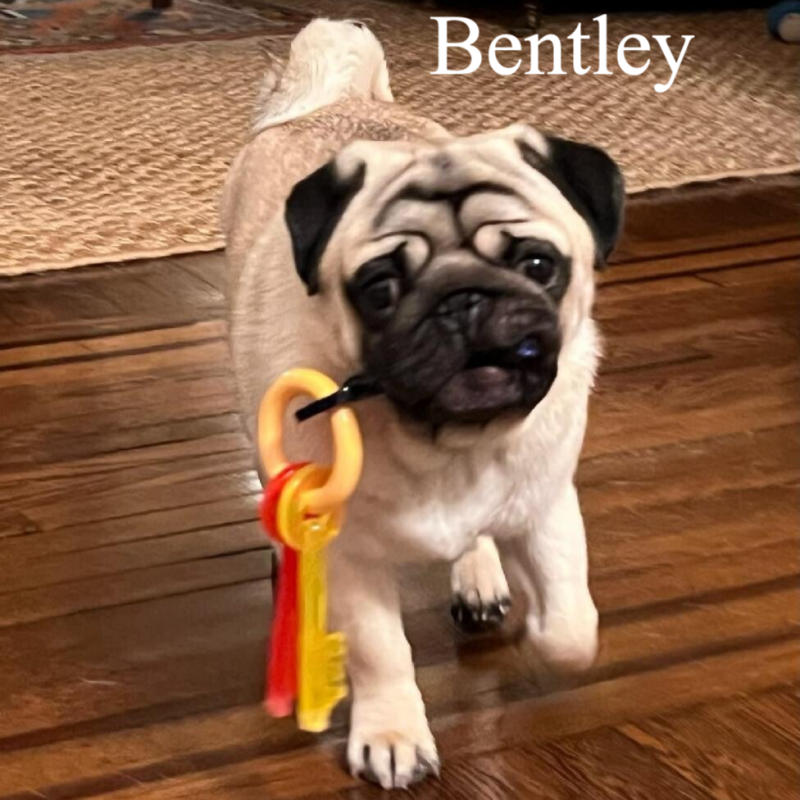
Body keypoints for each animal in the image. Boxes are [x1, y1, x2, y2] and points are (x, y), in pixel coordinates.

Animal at [222, 18, 624, 790]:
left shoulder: (546, 503)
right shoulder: (349, 557)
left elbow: (571, 622)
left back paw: (480, 576)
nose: (463, 299)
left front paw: (541, 628)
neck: (450, 445)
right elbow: (382, 653)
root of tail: (332, 101)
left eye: (538, 265)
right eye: (380, 287)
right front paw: (393, 733)